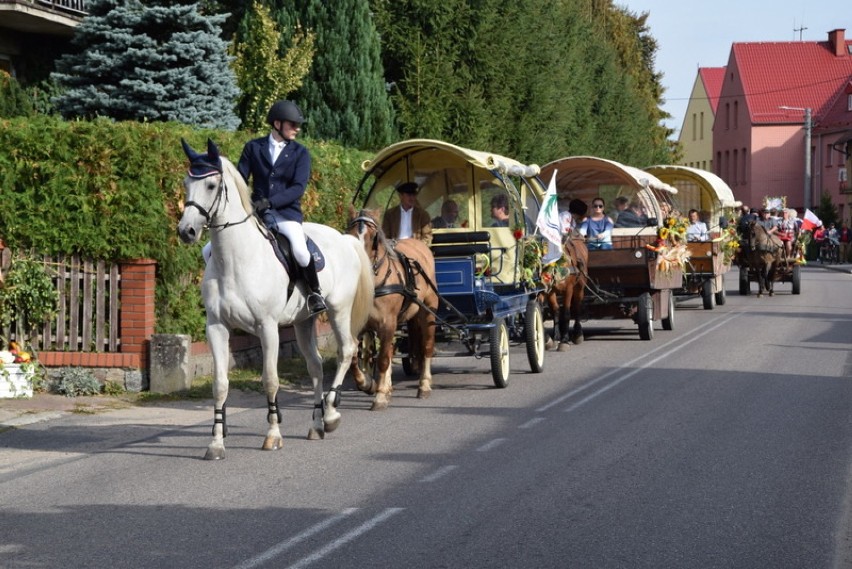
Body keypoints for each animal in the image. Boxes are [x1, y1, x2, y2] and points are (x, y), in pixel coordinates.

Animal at [176, 139, 372, 462]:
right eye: (186, 183)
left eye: (212, 185)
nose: (186, 231)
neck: (236, 260)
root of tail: (345, 238)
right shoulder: (216, 327)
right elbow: (219, 384)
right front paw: (216, 443)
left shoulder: (267, 327)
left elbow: (270, 379)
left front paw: (273, 435)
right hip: (304, 322)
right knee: (316, 366)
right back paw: (316, 424)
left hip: (338, 310)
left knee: (346, 351)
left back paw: (331, 414)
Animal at [348, 207, 440, 408]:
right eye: (349, 234)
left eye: (374, 237)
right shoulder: (358, 325)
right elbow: (354, 357)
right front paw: (368, 384)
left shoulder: (387, 322)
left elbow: (383, 359)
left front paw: (380, 396)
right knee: (390, 349)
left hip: (428, 311)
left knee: (427, 346)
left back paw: (424, 385)